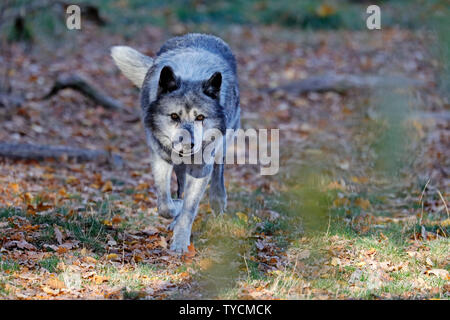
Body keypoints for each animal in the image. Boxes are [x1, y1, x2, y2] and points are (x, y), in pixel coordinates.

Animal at [110, 32, 241, 252]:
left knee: (219, 168)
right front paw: (176, 210)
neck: (191, 73)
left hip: (224, 142)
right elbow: (165, 204)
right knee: (180, 187)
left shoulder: (200, 168)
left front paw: (180, 243)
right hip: (178, 166)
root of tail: (200, 34)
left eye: (200, 117)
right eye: (174, 116)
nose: (188, 145)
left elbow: (190, 208)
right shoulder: (160, 159)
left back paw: (218, 200)